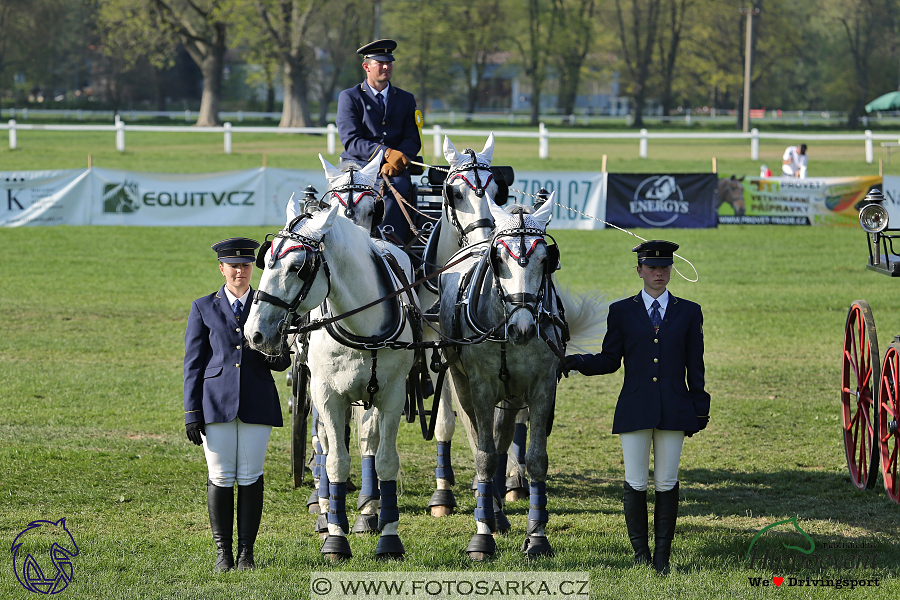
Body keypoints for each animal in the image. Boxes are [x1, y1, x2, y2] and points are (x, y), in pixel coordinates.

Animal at [244, 199, 416, 560]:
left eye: (298, 267)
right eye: (266, 260)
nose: (254, 334)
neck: (362, 327)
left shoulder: (392, 395)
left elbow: (385, 460)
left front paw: (388, 536)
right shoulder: (327, 395)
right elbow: (336, 460)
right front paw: (336, 537)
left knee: (367, 441)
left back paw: (368, 510)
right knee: (322, 443)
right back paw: (324, 508)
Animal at [438, 195, 604, 560]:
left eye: (545, 260)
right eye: (499, 259)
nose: (523, 327)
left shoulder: (542, 386)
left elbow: (536, 459)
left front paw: (537, 537)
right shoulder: (481, 387)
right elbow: (484, 457)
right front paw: (481, 537)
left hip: (512, 396)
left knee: (502, 440)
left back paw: (498, 511)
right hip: (461, 383)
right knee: (478, 439)